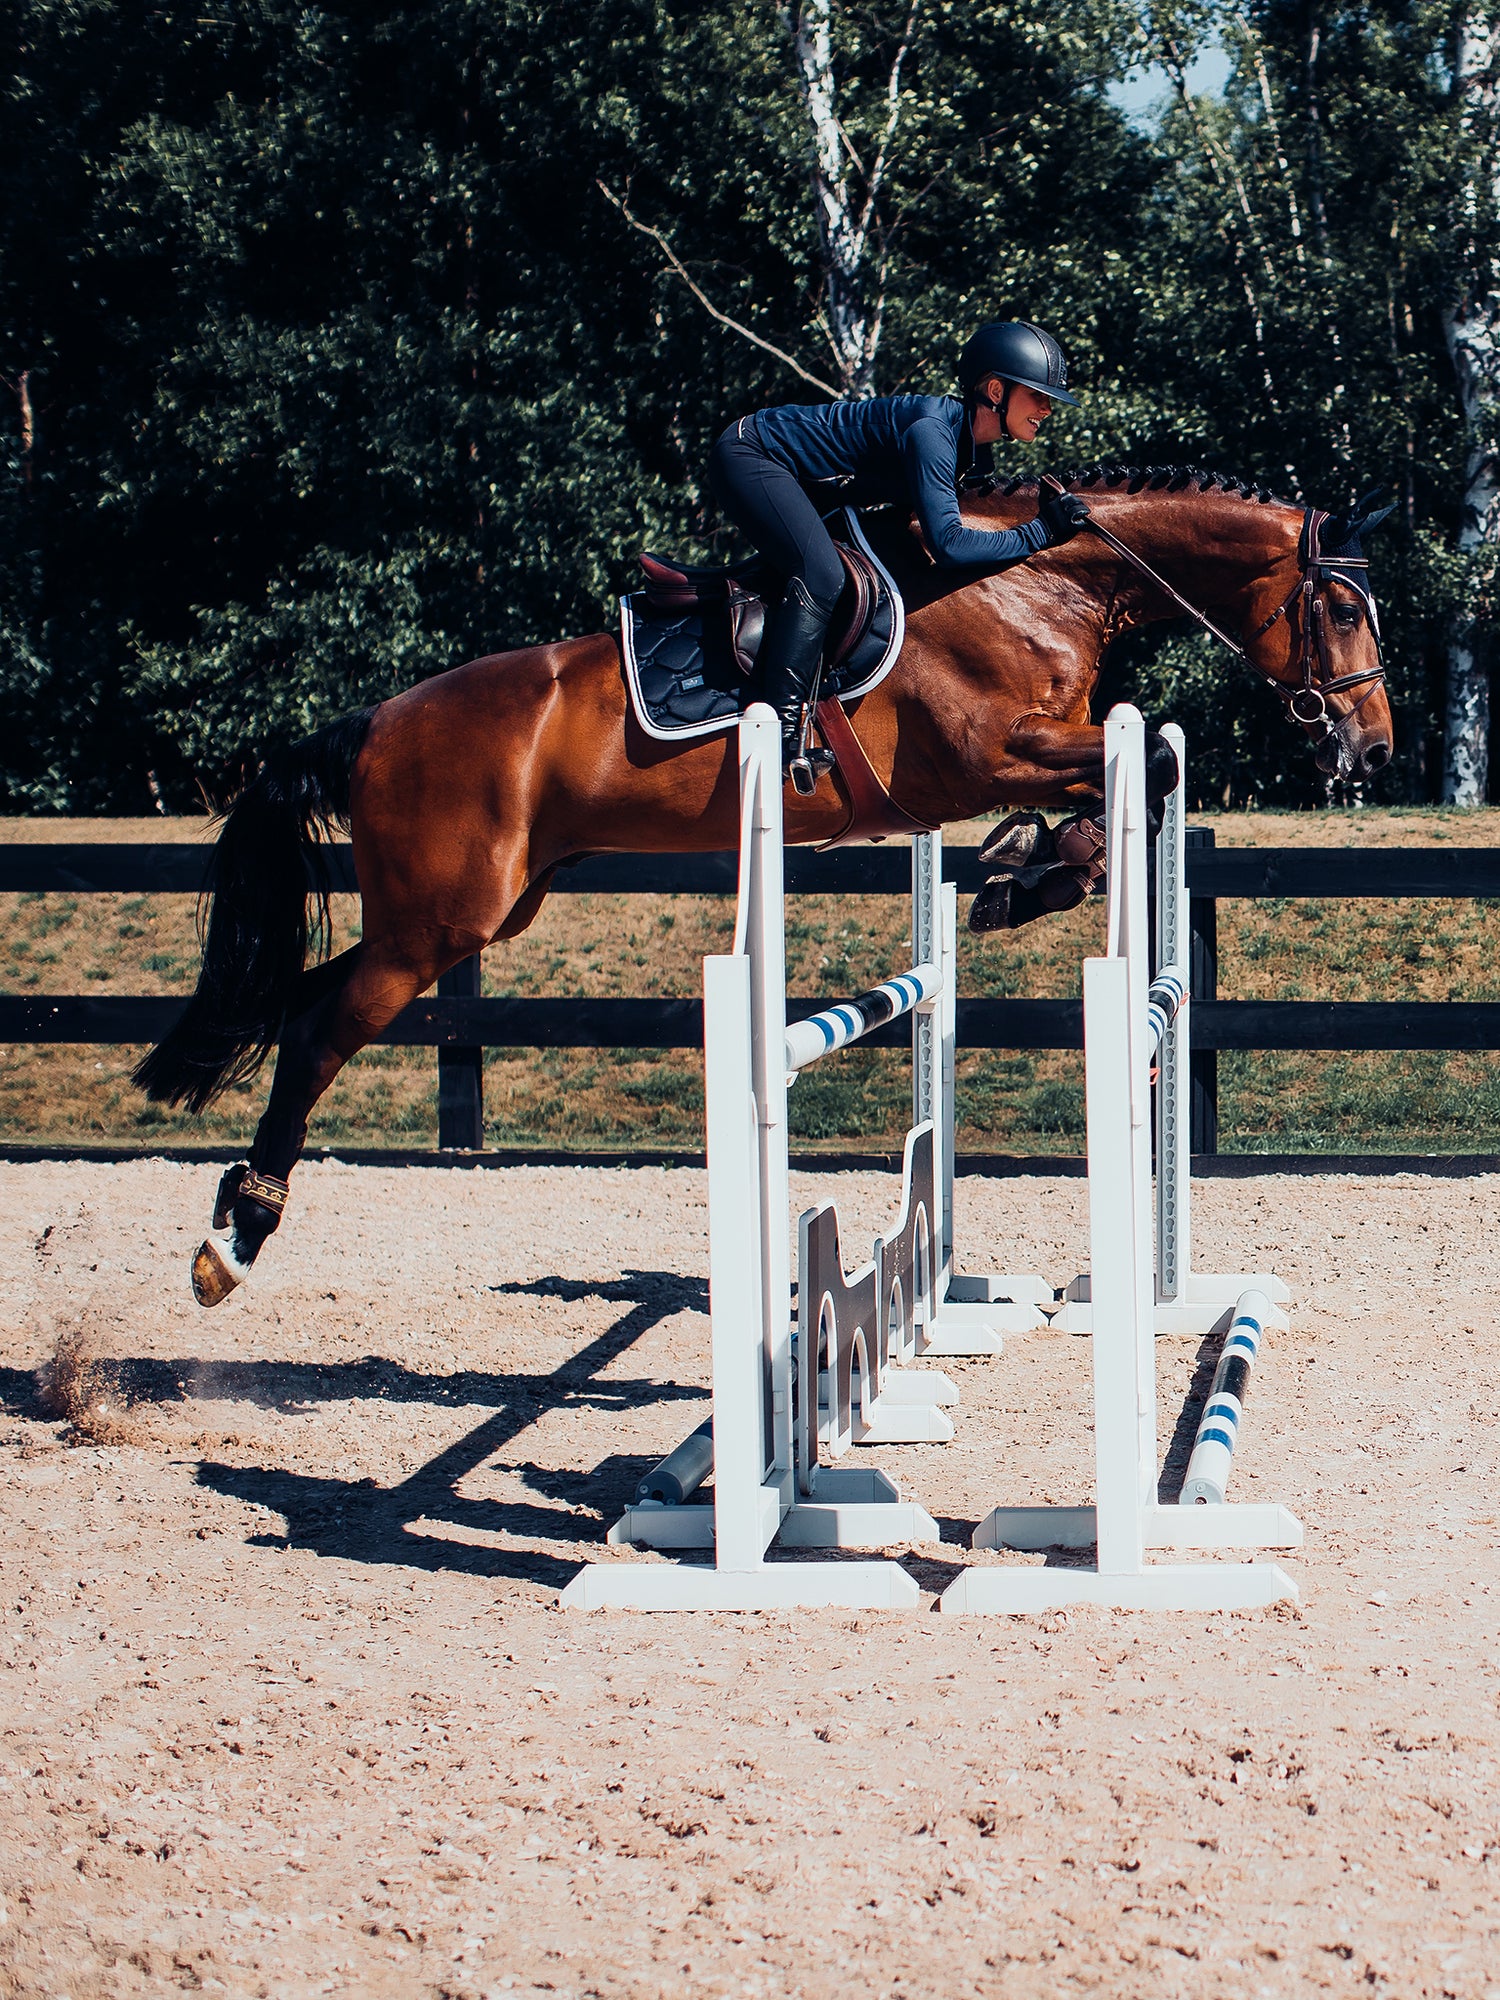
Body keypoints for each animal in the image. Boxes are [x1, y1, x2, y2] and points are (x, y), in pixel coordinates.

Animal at [135, 460, 1392, 1304]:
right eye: (1339, 607)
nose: (1371, 747)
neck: (1041, 584)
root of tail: (375, 722)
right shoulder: (988, 750)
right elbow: (1153, 760)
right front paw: (1027, 870)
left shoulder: (1048, 747)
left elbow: (1129, 776)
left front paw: (1022, 870)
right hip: (437, 923)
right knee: (317, 1032)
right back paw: (232, 1242)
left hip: (475, 910)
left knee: (301, 1002)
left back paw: (236, 1214)